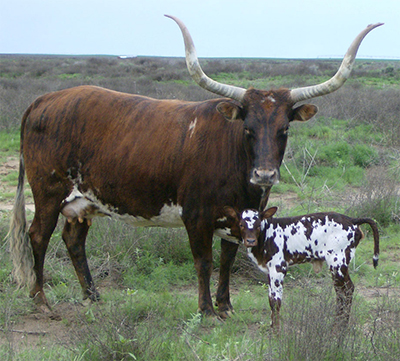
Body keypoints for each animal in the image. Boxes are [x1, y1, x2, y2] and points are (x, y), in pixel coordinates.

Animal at [223, 207, 380, 328]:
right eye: (241, 225)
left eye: (257, 225)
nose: (250, 241)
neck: (267, 235)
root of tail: (351, 220)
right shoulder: (270, 271)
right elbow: (270, 299)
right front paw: (272, 327)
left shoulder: (278, 268)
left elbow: (276, 301)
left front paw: (276, 333)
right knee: (341, 292)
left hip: (338, 263)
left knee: (346, 290)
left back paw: (340, 327)